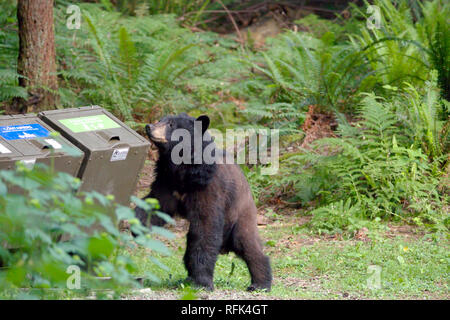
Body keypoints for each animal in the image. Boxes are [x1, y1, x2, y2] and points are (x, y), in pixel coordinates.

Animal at [135, 114, 272, 292]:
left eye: (171, 124)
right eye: (161, 119)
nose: (149, 126)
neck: (183, 169)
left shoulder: (209, 188)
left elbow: (206, 225)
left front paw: (202, 282)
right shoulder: (167, 181)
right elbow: (157, 203)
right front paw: (136, 224)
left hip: (240, 215)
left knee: (248, 245)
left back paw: (260, 283)